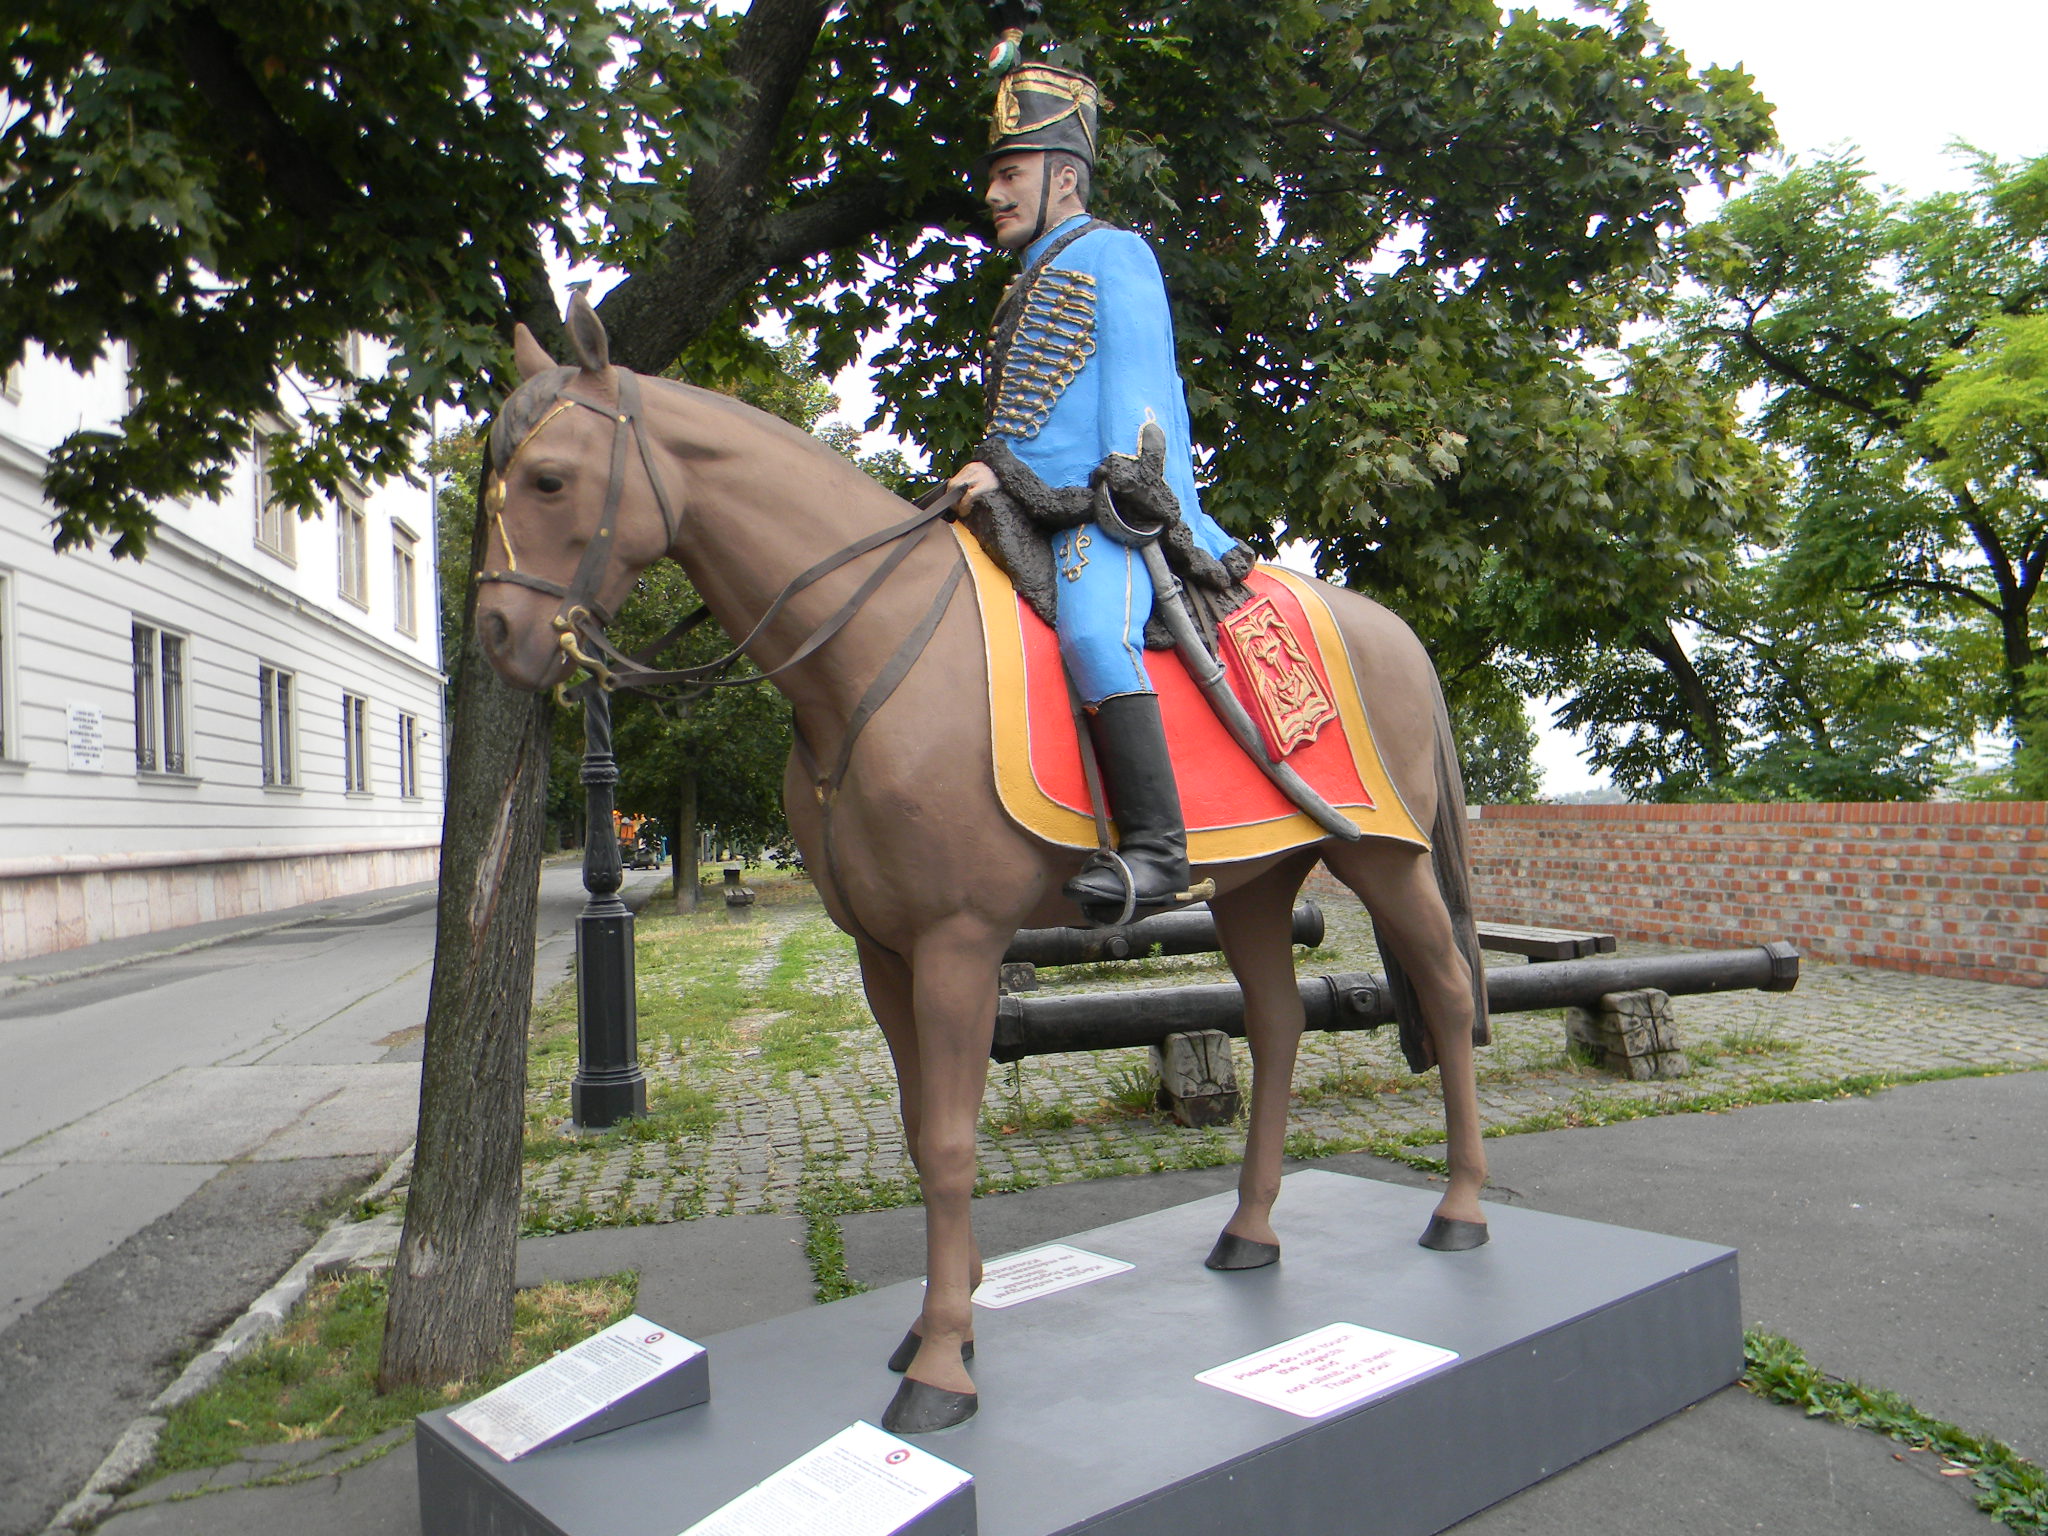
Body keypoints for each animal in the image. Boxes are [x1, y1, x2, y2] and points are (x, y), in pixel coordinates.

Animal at [471, 303, 1482, 1441]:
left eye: (550, 478)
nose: (499, 634)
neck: (867, 649)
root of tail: (1396, 632)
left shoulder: (956, 946)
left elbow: (954, 1143)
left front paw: (942, 1365)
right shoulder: (882, 955)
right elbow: (921, 1135)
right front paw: (933, 1324)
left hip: (1381, 856)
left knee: (1448, 991)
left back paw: (1458, 1210)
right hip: (1260, 884)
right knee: (1275, 1022)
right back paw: (1249, 1230)